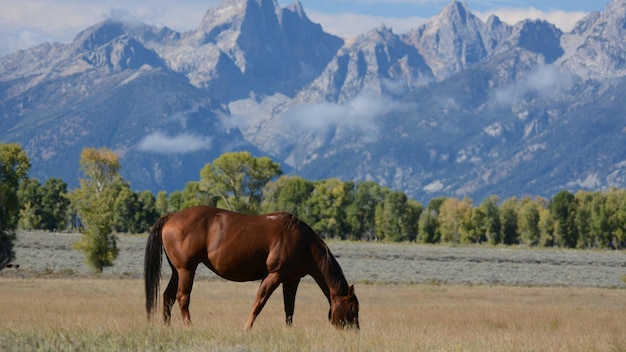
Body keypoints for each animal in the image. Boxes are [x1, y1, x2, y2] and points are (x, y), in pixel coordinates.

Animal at [141, 205, 356, 332]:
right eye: (353, 308)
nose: (355, 330)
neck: (303, 243)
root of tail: (171, 217)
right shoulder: (274, 276)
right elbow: (259, 302)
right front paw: (246, 328)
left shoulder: (291, 279)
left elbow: (289, 307)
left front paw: (289, 330)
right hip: (186, 270)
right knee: (182, 297)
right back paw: (189, 326)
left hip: (177, 271)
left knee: (168, 296)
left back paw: (167, 327)